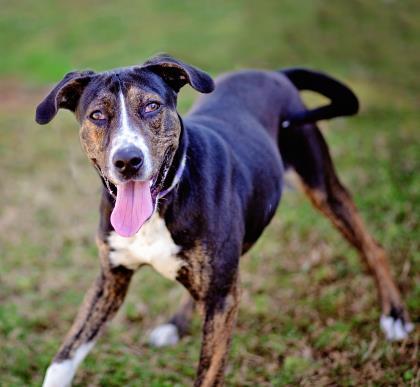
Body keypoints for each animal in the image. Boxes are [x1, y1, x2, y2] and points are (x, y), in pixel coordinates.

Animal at [36, 55, 414, 387]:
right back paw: (175, 324)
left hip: (321, 184)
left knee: (372, 246)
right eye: (98, 115)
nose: (128, 161)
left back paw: (394, 315)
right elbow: (63, 357)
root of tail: (274, 73)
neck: (163, 201)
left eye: (152, 106)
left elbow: (208, 373)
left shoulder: (222, 296)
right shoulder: (110, 279)